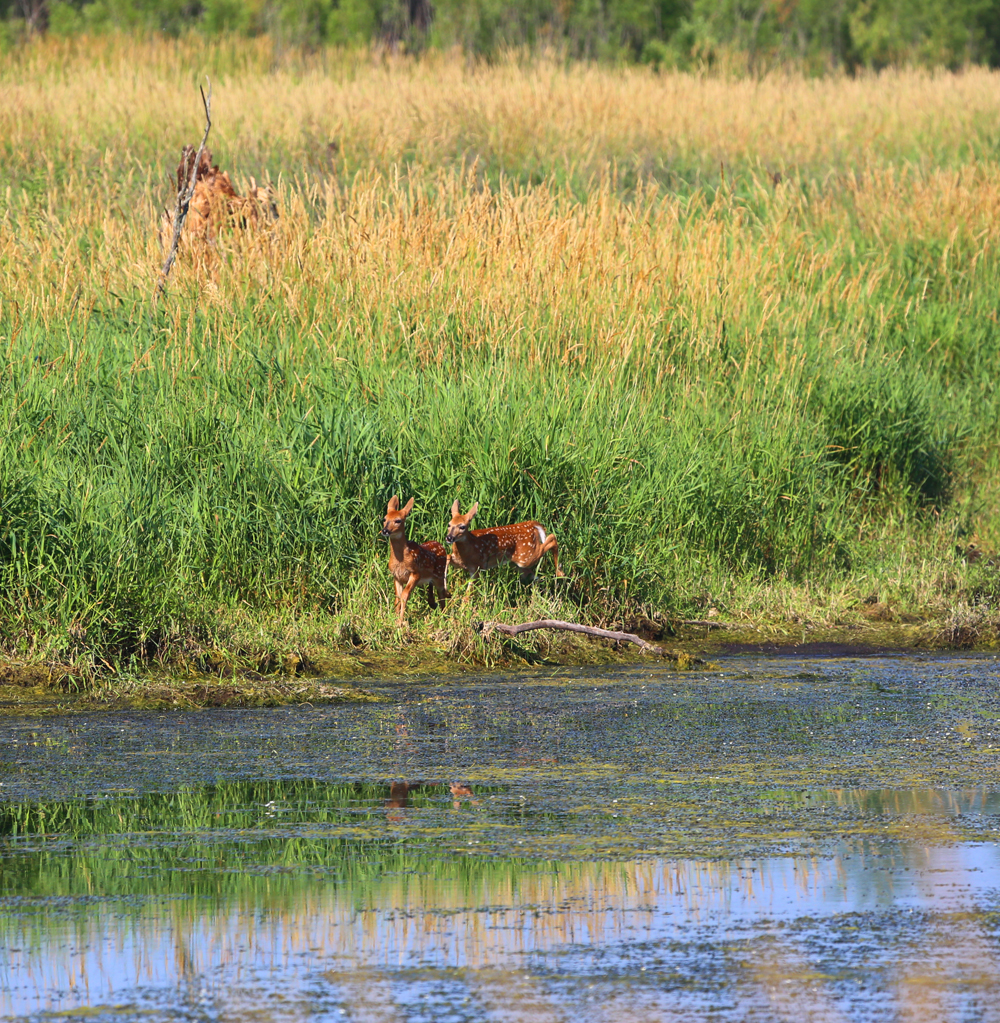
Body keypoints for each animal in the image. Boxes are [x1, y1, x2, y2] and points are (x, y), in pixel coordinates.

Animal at [378, 493, 447, 621]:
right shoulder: (396, 576)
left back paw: (445, 616)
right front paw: (394, 618)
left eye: (398, 520)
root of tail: (441, 546)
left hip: (439, 574)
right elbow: (397, 597)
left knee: (442, 593)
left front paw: (400, 621)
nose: (385, 530)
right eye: (384, 519)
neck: (401, 561)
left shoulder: (415, 573)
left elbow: (405, 596)